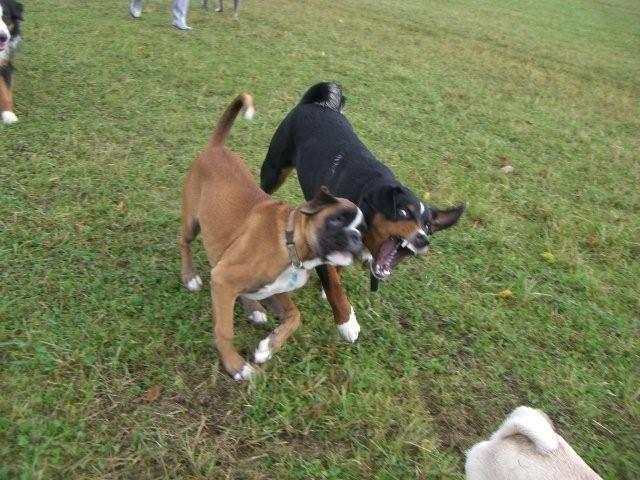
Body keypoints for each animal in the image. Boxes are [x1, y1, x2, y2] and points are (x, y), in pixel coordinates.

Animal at [181, 93, 364, 380]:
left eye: (362, 228)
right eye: (337, 220)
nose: (356, 238)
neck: (289, 243)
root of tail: (216, 148)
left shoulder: (272, 288)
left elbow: (294, 315)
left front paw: (268, 347)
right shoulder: (222, 279)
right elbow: (224, 330)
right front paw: (235, 365)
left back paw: (254, 309)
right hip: (192, 223)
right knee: (185, 243)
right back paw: (189, 277)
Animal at [260, 82, 464, 340]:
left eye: (427, 225)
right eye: (403, 213)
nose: (422, 239)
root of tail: (313, 103)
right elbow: (335, 288)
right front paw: (347, 322)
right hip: (274, 170)